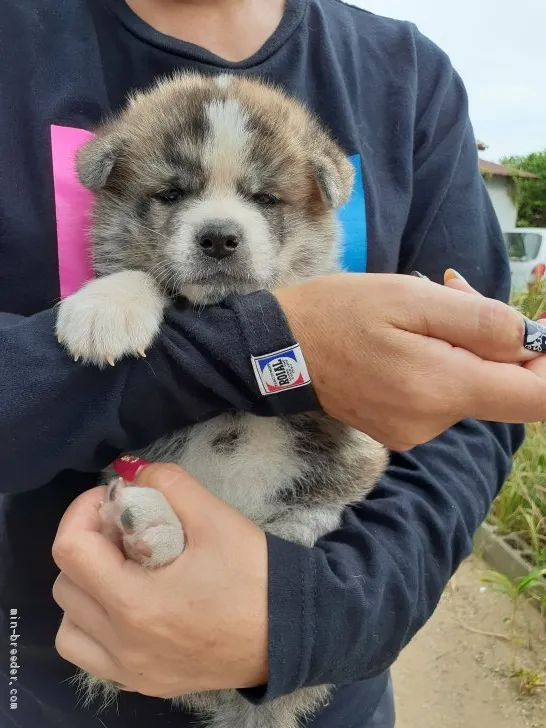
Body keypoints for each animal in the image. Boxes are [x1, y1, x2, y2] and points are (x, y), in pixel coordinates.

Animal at [55, 72, 386, 728]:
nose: (219, 237)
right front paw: (106, 306)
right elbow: (148, 276)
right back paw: (147, 522)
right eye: (171, 193)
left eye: (265, 199)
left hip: (318, 505)